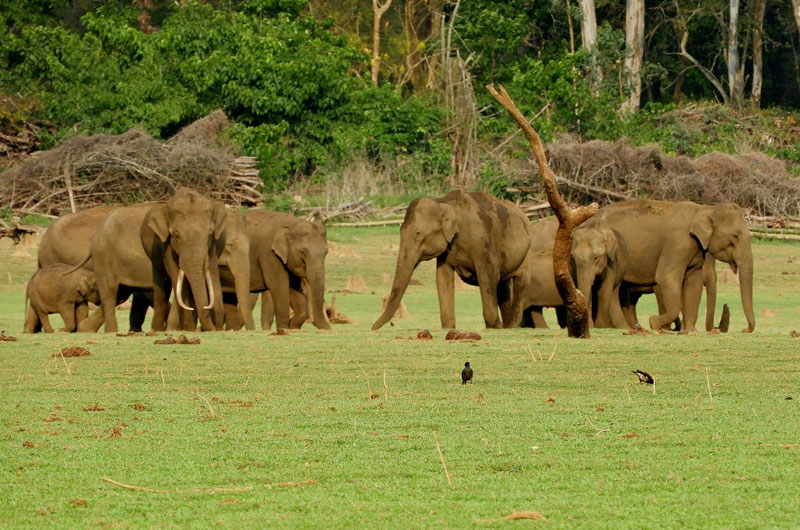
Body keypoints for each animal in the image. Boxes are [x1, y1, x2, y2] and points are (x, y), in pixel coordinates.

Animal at [141, 188, 227, 332]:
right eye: (176, 235)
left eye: (209, 233)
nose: (211, 328)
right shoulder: (167, 245)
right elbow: (178, 279)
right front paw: (189, 328)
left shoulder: (212, 248)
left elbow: (212, 275)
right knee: (161, 287)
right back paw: (158, 329)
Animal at [374, 190, 532, 330]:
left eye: (418, 234)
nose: (373, 328)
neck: (443, 202)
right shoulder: (446, 251)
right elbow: (442, 278)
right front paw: (448, 327)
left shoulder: (482, 242)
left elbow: (488, 276)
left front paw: (493, 327)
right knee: (503, 285)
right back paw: (507, 326)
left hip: (528, 250)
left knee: (520, 281)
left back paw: (511, 326)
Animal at [584, 200, 752, 332]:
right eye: (735, 236)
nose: (745, 329)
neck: (703, 208)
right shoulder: (677, 243)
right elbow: (665, 278)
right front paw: (654, 323)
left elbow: (694, 283)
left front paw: (689, 331)